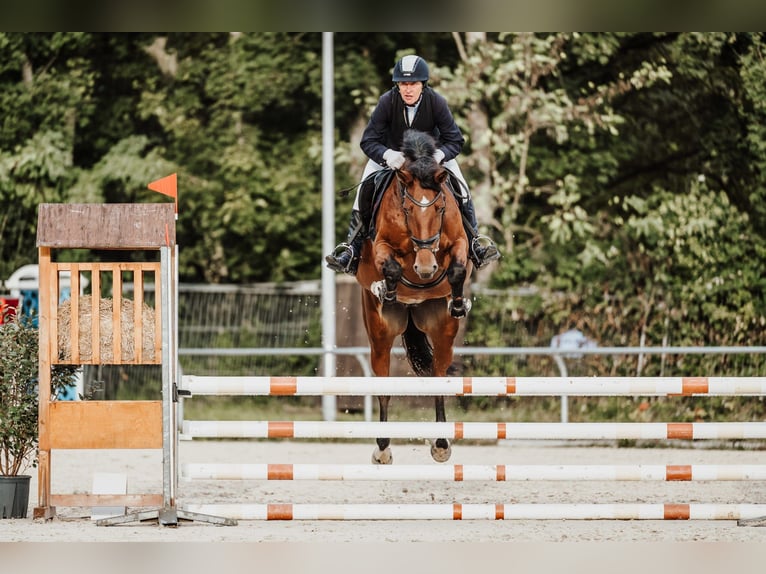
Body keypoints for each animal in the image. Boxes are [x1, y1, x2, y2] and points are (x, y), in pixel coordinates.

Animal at [355, 129, 473, 465]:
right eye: (407, 210)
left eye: (440, 208)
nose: (425, 268)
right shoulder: (381, 246)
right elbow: (392, 265)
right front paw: (388, 288)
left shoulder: (459, 242)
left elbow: (458, 269)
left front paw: (459, 302)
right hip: (380, 334)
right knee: (383, 383)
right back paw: (382, 447)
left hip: (442, 330)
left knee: (438, 375)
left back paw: (442, 444)